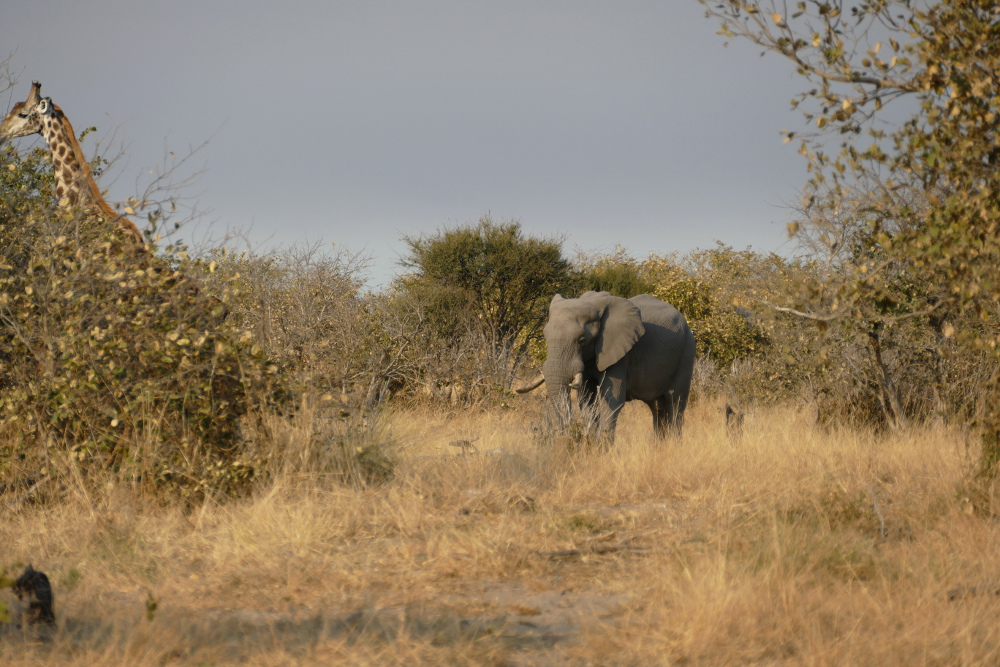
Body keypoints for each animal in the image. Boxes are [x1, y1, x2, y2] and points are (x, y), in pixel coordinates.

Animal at [517, 291, 696, 440]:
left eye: (582, 340)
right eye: (545, 336)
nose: (566, 436)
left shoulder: (620, 353)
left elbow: (611, 398)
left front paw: (602, 447)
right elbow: (586, 398)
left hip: (686, 353)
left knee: (675, 402)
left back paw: (673, 444)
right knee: (657, 407)